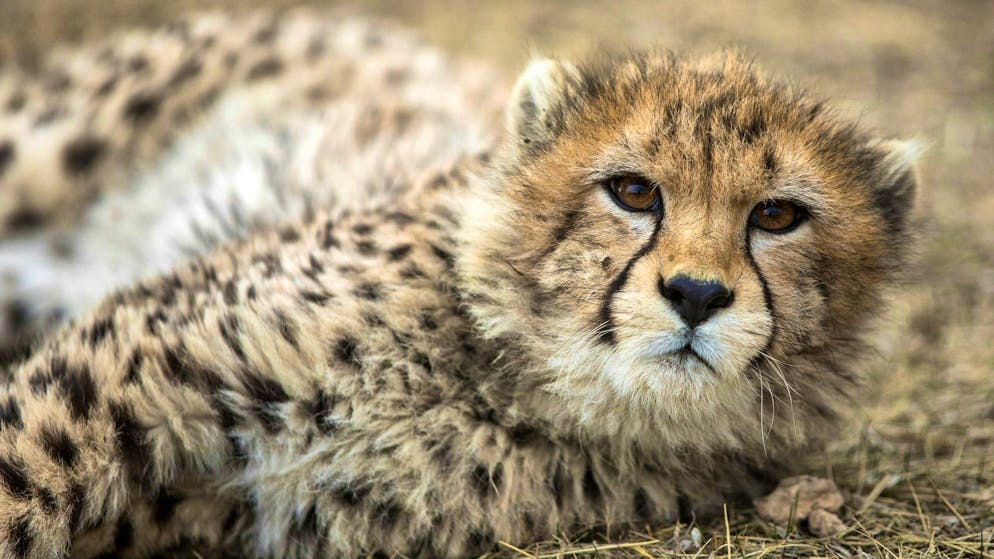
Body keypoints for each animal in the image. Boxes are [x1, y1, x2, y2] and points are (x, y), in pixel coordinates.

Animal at [0, 9, 920, 559]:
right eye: (633, 191)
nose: (696, 294)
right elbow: (25, 471)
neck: (508, 379)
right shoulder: (137, 356)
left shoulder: (227, 498)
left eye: (777, 215)